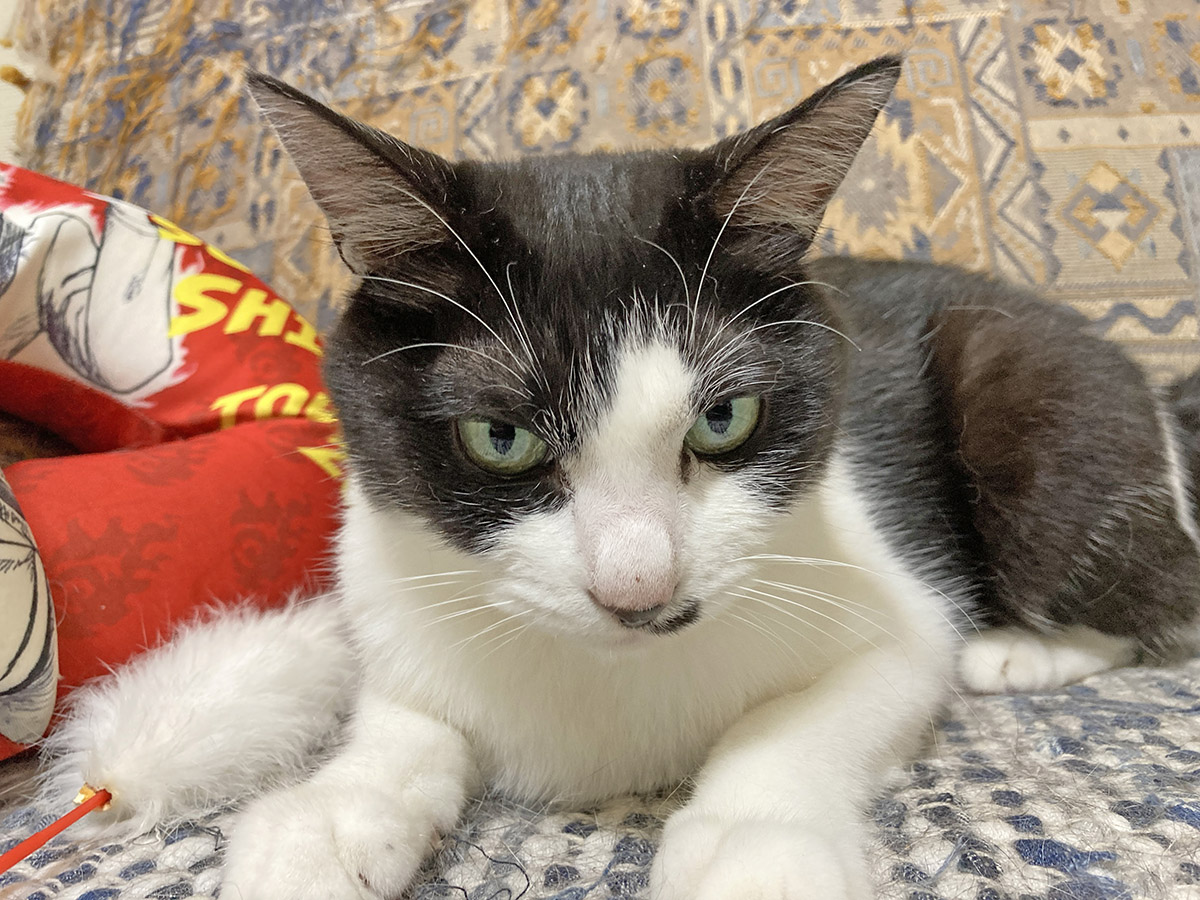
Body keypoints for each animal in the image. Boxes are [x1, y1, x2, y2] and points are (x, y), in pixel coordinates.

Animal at [42, 56, 1200, 900]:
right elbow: (406, 716)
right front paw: (331, 816)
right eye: (499, 437)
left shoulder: (888, 608)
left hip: (1028, 394)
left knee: (1159, 585)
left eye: (725, 419)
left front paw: (750, 847)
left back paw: (1023, 649)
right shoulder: (391, 585)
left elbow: (808, 715)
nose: (638, 588)